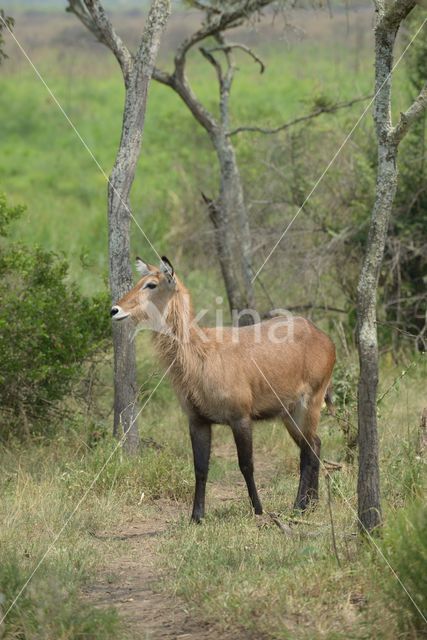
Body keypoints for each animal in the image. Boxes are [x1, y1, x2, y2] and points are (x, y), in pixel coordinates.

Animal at [111, 258, 338, 524]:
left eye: (151, 284)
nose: (114, 310)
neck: (200, 354)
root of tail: (323, 336)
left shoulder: (240, 418)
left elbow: (246, 465)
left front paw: (258, 510)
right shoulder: (197, 421)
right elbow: (200, 467)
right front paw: (196, 517)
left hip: (309, 403)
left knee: (308, 451)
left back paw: (299, 506)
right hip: (289, 413)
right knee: (314, 444)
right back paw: (310, 505)